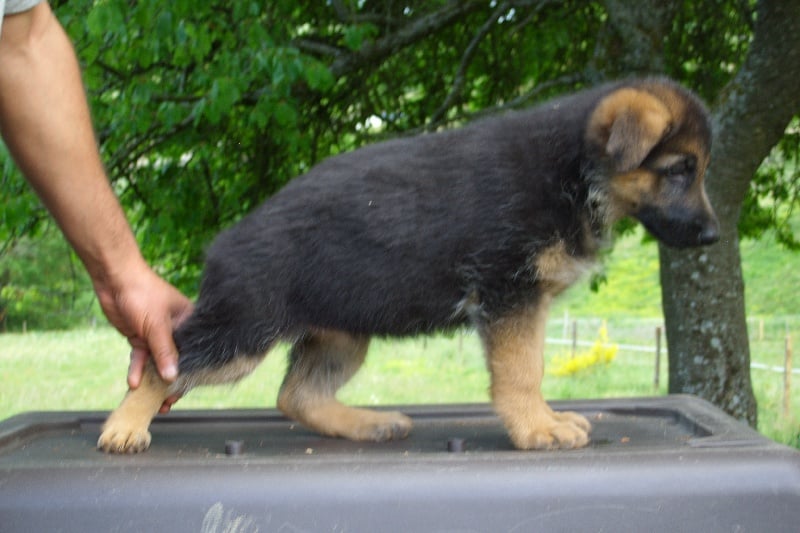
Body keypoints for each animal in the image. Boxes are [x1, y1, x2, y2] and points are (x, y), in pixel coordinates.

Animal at [97, 78, 716, 454]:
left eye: (698, 169)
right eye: (679, 170)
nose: (713, 236)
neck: (574, 170)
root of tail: (221, 246)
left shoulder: (527, 298)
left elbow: (531, 366)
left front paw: (543, 420)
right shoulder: (508, 292)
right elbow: (522, 370)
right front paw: (538, 427)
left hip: (342, 334)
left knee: (296, 396)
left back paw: (367, 423)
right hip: (242, 333)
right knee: (169, 360)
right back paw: (125, 425)